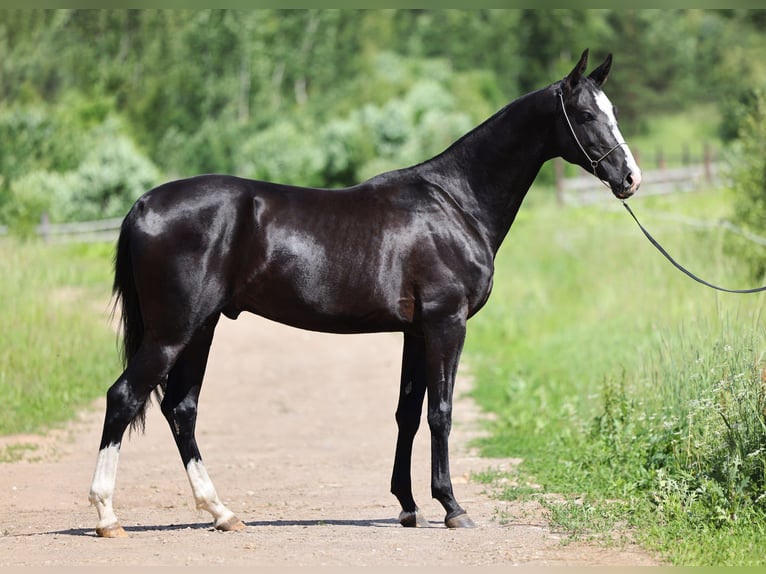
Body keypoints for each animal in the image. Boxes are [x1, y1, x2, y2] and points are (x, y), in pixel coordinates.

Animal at [88, 50, 640, 540]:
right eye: (586, 114)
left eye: (612, 110)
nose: (630, 178)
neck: (456, 202)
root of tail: (143, 203)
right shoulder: (446, 323)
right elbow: (441, 412)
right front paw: (452, 507)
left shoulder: (416, 331)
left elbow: (408, 413)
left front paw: (409, 506)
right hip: (172, 330)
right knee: (125, 397)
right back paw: (107, 517)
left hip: (201, 328)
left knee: (181, 409)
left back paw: (222, 513)